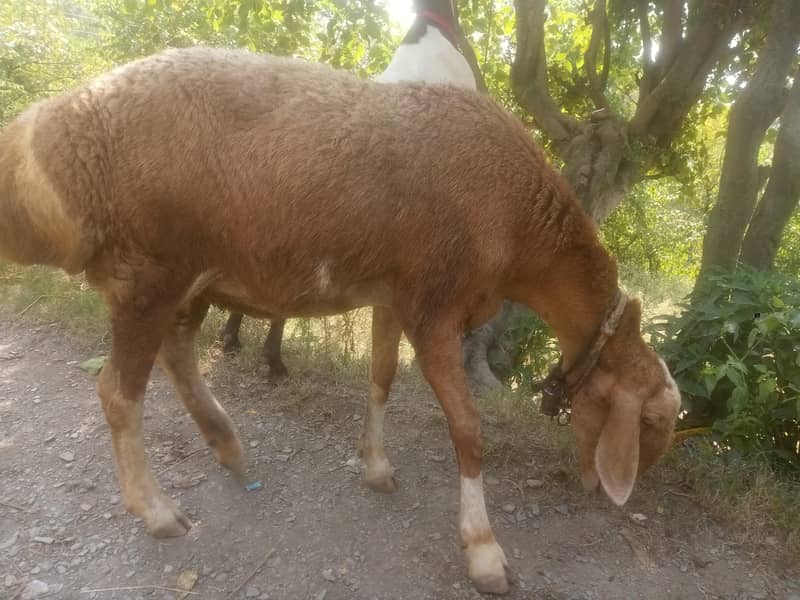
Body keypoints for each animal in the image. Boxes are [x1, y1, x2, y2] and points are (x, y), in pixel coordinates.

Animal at [0, 47, 680, 594]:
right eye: (650, 421)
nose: (626, 495)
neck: (520, 229)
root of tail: (43, 131)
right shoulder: (435, 305)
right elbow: (468, 429)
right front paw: (484, 552)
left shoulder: (393, 295)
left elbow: (380, 378)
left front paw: (375, 466)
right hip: (147, 269)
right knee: (119, 390)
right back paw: (158, 509)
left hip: (191, 272)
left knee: (176, 352)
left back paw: (226, 443)